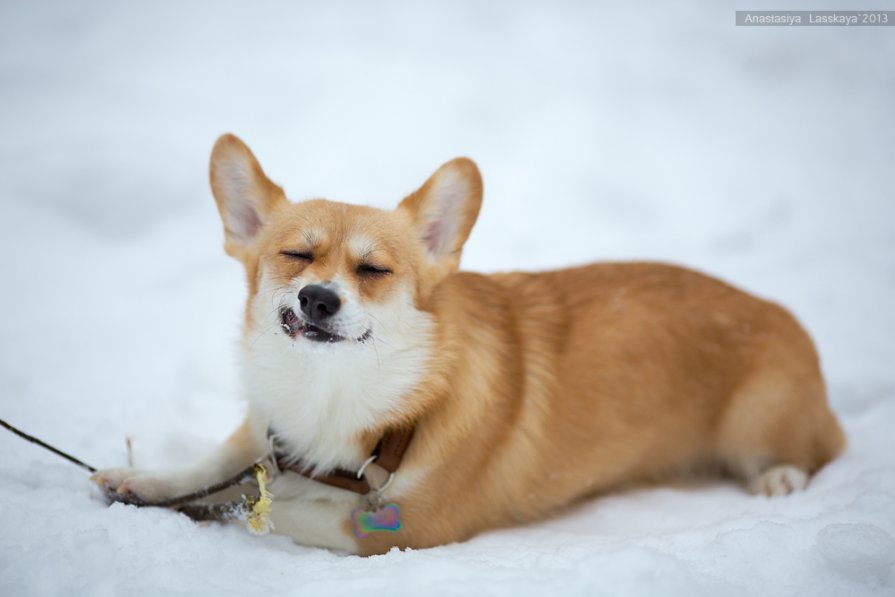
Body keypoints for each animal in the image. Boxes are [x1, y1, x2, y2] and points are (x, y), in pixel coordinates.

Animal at [91, 134, 848, 556]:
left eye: (373, 270)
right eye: (296, 255)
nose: (318, 300)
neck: (336, 397)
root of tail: (783, 317)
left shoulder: (399, 529)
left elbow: (261, 510)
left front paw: (206, 511)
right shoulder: (260, 433)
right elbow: (209, 466)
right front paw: (141, 480)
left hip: (758, 419)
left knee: (819, 451)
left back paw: (781, 477)